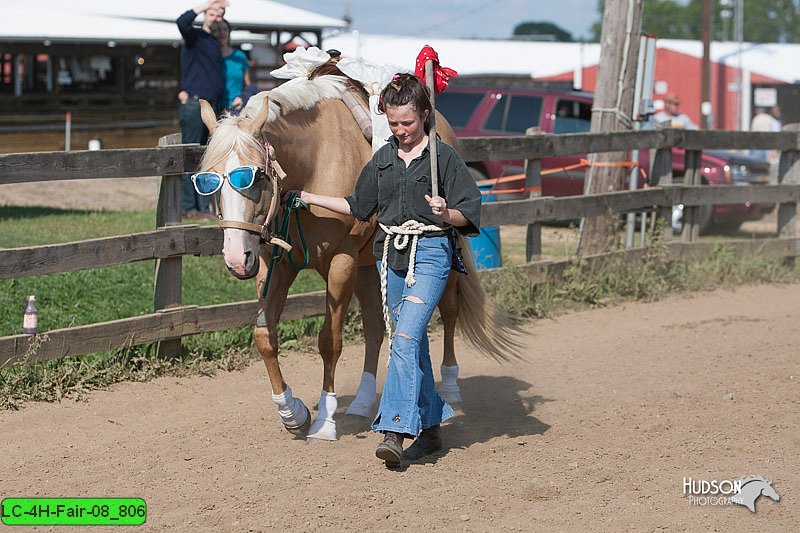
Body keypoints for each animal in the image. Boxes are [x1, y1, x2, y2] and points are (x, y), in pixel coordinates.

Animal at [197, 75, 516, 440]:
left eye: (254, 176)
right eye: (207, 180)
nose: (237, 257)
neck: (315, 160)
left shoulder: (341, 261)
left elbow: (329, 341)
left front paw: (324, 421)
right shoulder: (275, 262)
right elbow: (265, 336)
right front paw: (292, 413)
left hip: (440, 256)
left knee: (448, 310)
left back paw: (449, 386)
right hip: (367, 266)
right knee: (375, 327)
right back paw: (363, 402)